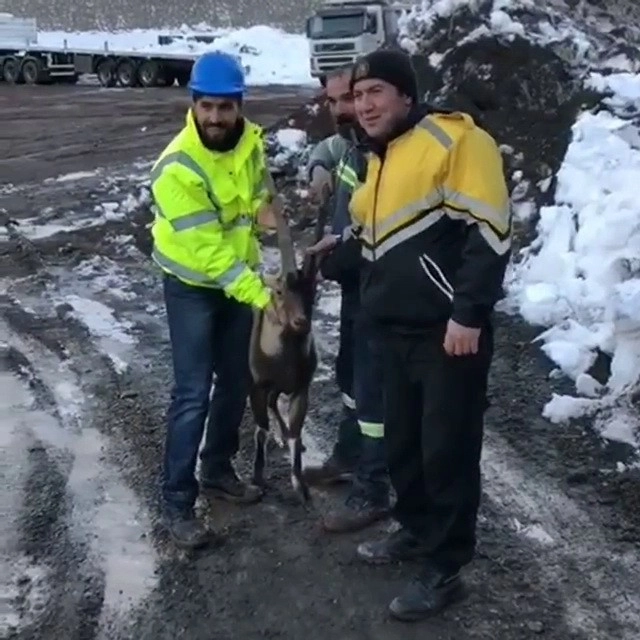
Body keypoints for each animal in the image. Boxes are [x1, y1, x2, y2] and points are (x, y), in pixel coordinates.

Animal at [249, 196, 330, 504]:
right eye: (280, 291)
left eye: (313, 291)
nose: (301, 323)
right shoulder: (257, 385)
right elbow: (260, 429)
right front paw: (257, 479)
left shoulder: (300, 387)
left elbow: (297, 431)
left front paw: (300, 486)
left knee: (275, 403)